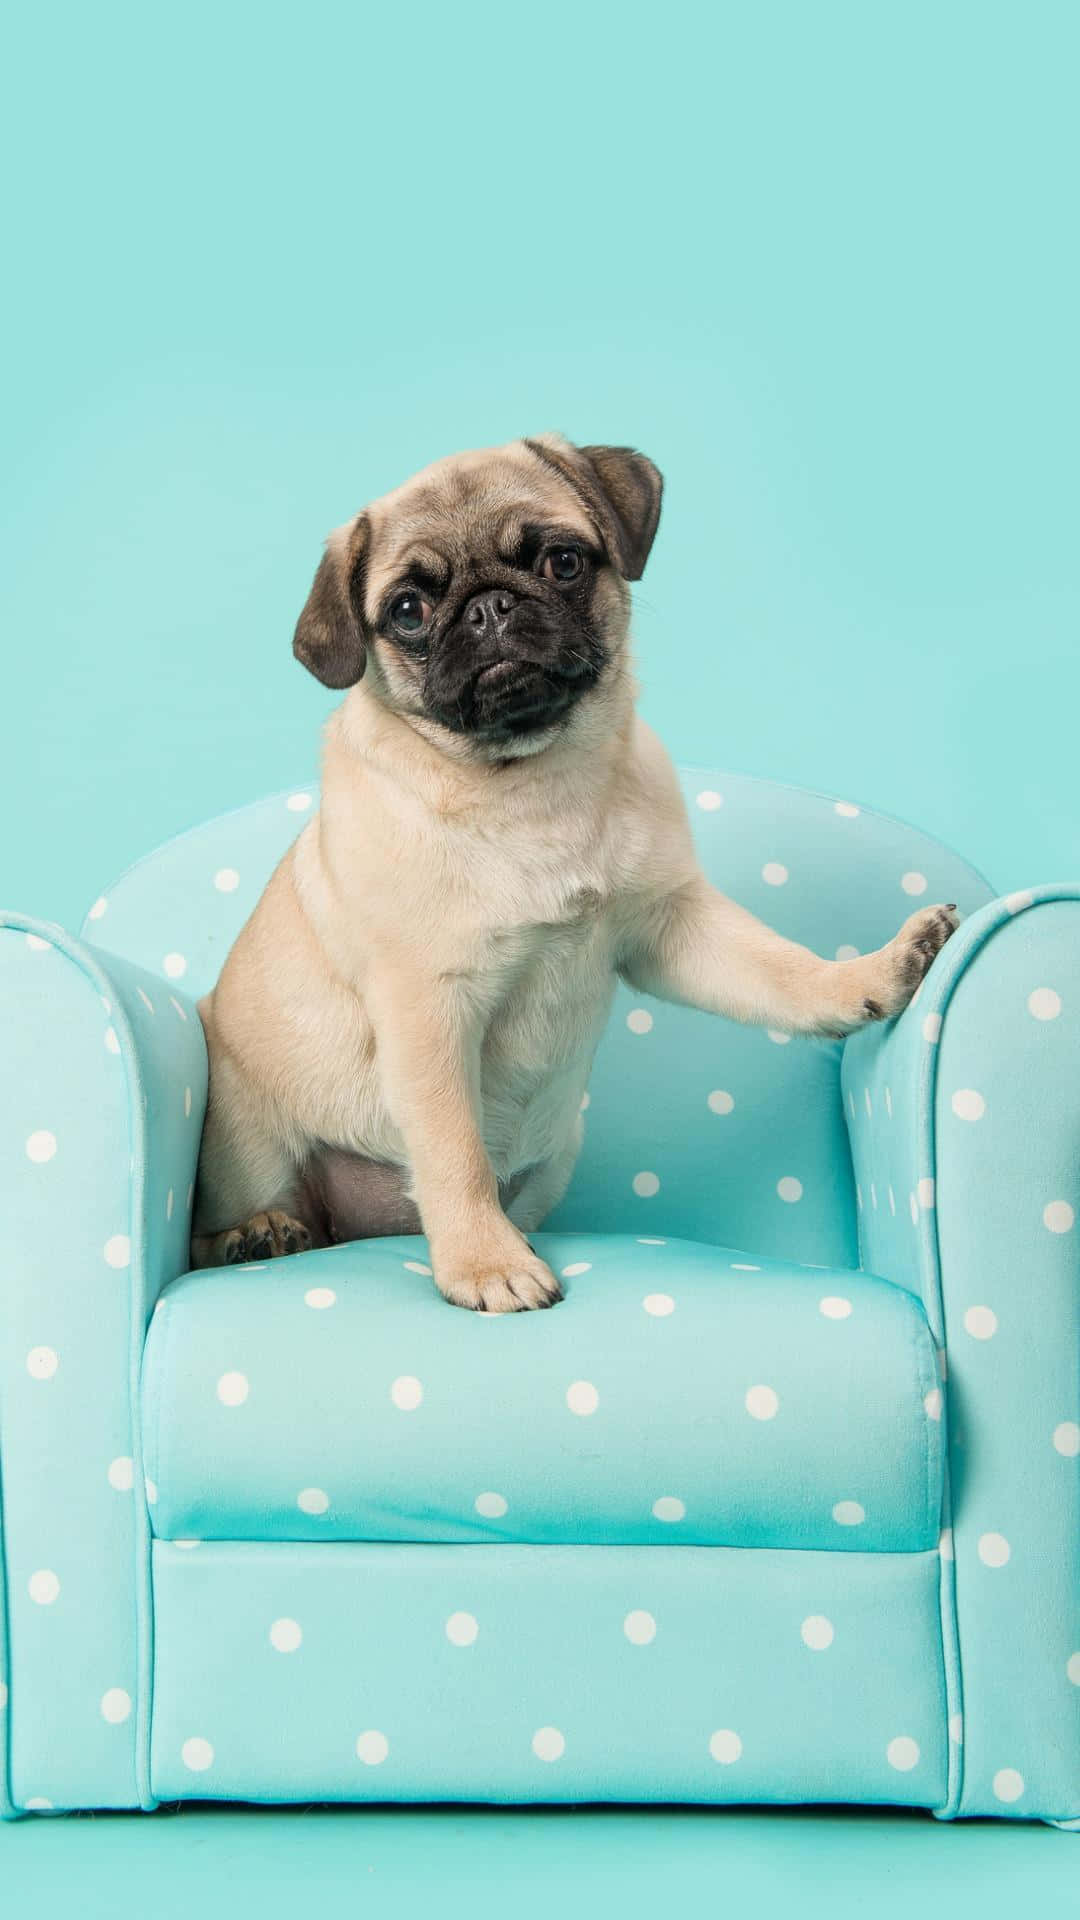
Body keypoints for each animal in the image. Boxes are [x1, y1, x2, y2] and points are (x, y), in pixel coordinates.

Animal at [191, 433, 949, 1305]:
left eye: (561, 562)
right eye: (409, 610)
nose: (490, 607)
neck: (531, 784)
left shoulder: (671, 928)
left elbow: (779, 971)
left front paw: (873, 975)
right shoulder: (426, 1009)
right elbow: (454, 1151)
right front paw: (485, 1264)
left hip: (557, 1158)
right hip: (252, 1147)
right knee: (216, 1236)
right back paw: (258, 1235)